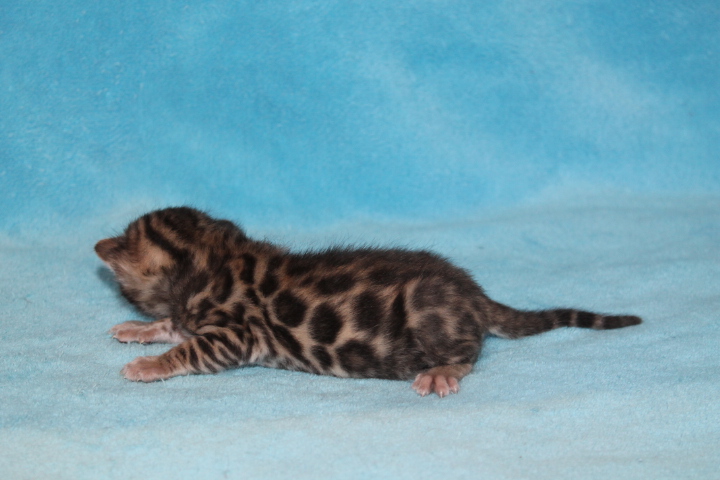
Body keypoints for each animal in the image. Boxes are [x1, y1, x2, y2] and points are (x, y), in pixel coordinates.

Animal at [95, 207, 641, 397]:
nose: (100, 249)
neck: (212, 257)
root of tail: (473, 293)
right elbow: (175, 326)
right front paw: (140, 330)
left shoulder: (237, 332)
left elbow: (190, 347)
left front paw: (149, 364)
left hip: (425, 306)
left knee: (470, 352)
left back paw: (443, 370)